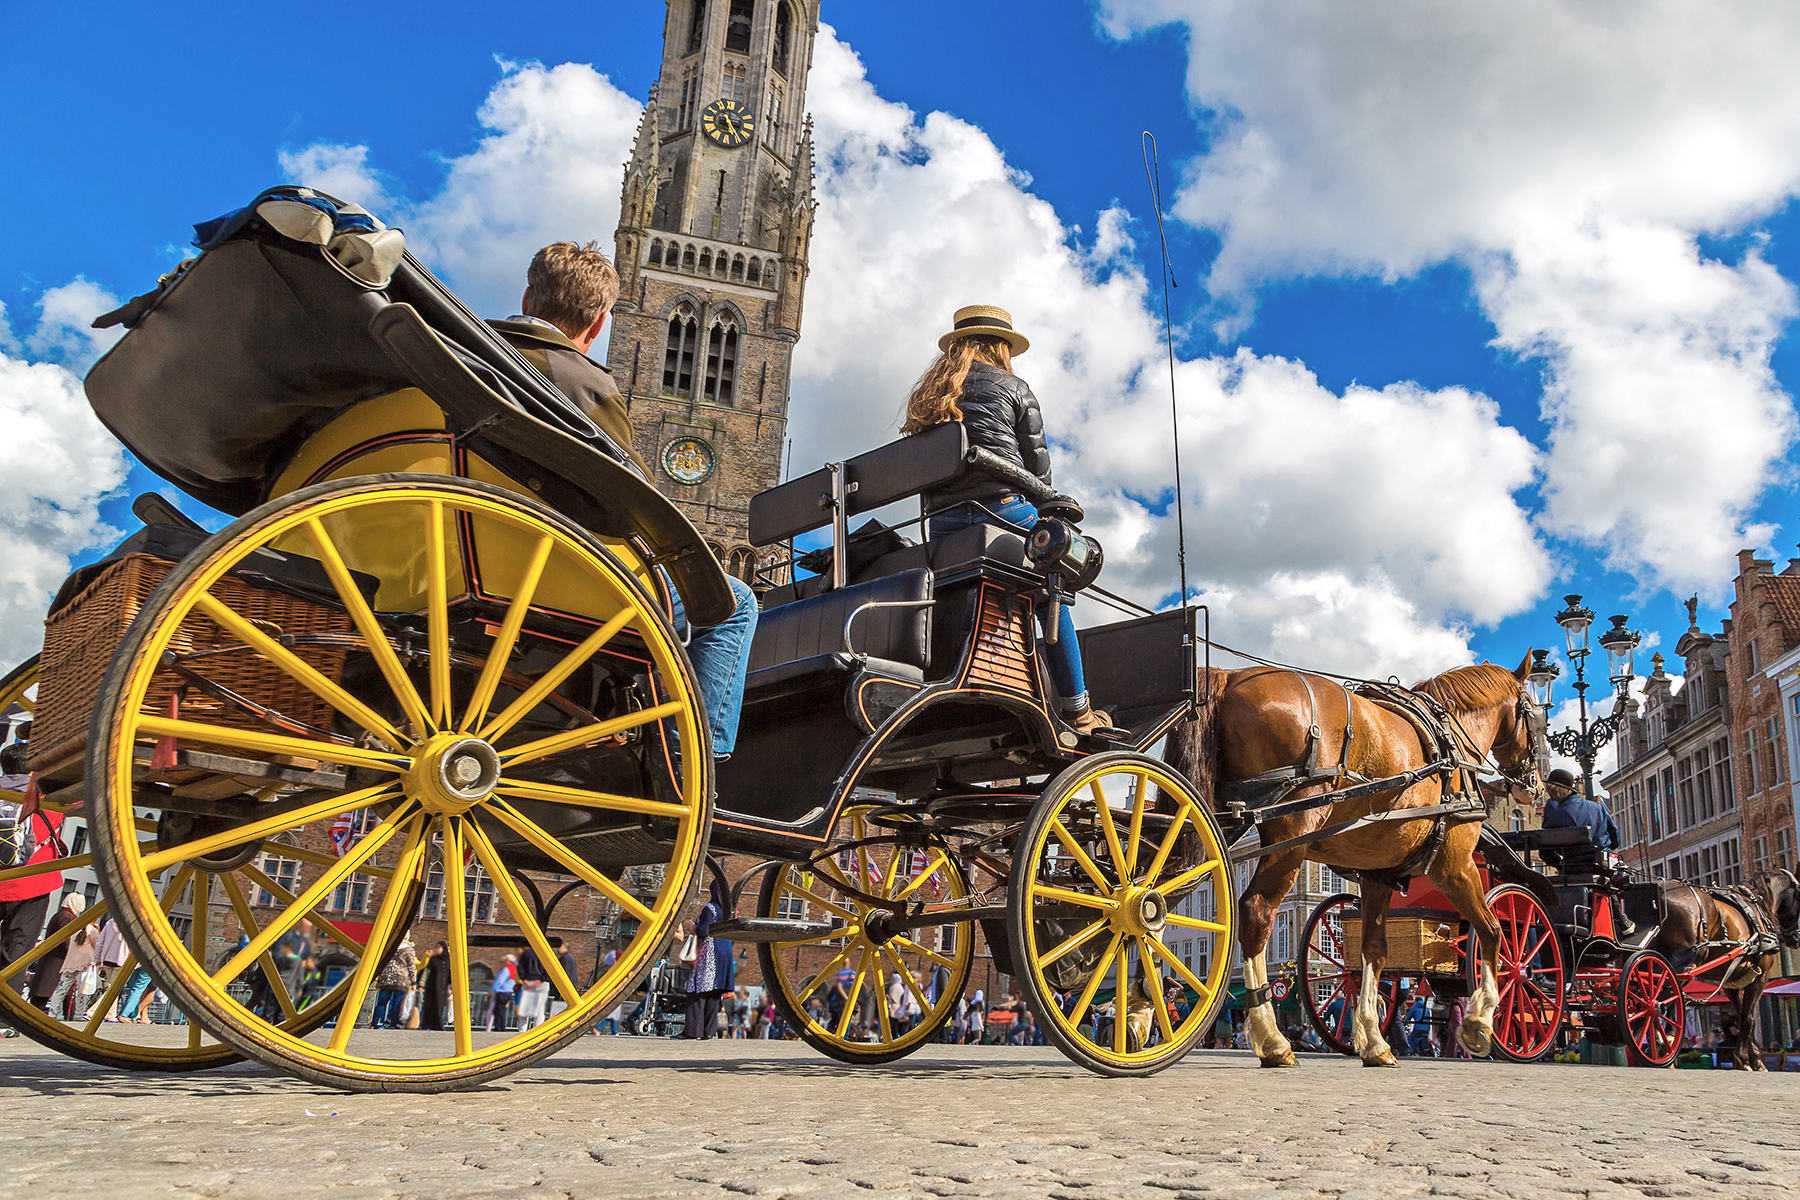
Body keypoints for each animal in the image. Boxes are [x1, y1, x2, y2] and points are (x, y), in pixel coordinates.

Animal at [1166, 651, 1548, 1065]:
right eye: (1537, 718)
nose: (1534, 788)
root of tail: (1227, 676)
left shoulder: (1376, 873)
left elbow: (1374, 952)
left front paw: (1373, 1041)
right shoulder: (1455, 863)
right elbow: (1492, 931)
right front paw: (1479, 1024)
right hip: (1291, 832)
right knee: (1256, 910)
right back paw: (1273, 1041)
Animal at [1648, 874, 1800, 1072]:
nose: (1795, 938)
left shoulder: (1731, 982)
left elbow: (1742, 1016)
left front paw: (1752, 1059)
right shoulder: (1760, 977)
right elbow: (1748, 1018)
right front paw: (1747, 1060)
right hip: (1682, 963)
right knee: (1661, 998)